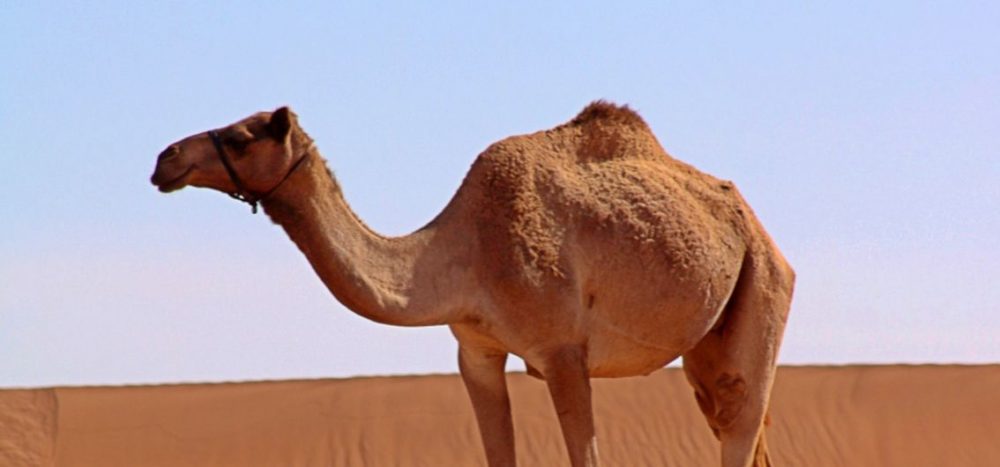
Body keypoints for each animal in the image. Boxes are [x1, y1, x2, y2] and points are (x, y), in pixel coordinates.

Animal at [150, 102, 794, 467]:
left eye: (241, 136)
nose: (164, 159)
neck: (463, 252)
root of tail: (760, 232)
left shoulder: (562, 350)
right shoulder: (475, 350)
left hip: (765, 288)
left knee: (741, 421)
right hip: (708, 345)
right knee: (730, 414)